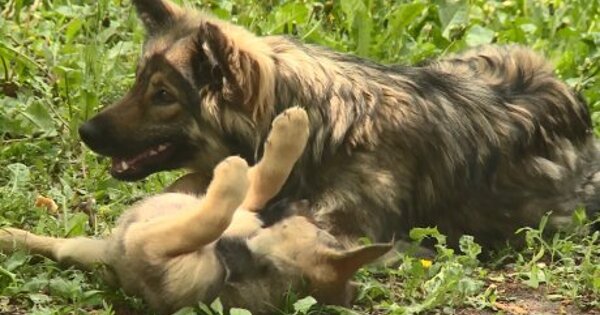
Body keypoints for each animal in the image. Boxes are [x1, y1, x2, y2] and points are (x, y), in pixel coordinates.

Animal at [0, 107, 392, 314]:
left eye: (265, 270)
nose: (303, 203)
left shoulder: (151, 243)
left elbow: (212, 215)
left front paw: (232, 173)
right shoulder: (248, 210)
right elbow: (264, 178)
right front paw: (290, 132)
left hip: (88, 248)